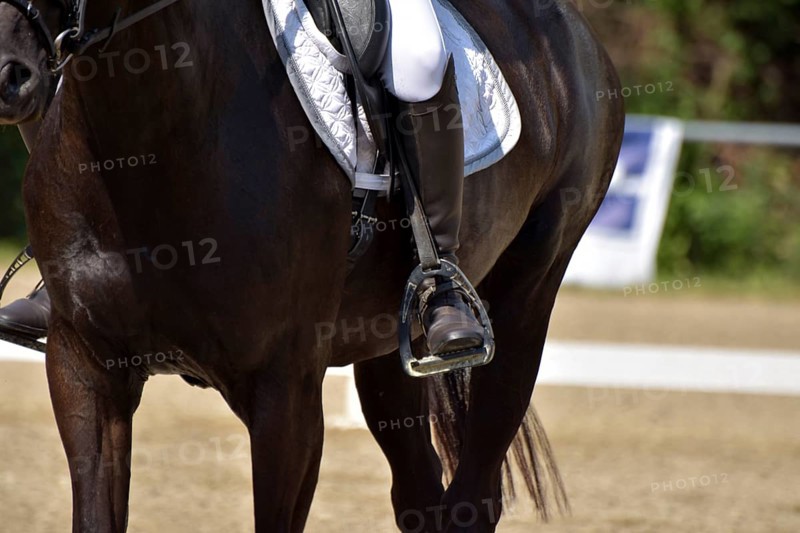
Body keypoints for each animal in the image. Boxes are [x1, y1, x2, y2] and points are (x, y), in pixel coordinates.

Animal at [5, 0, 624, 530]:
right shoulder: (84, 368)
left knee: (475, 497)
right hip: (385, 341)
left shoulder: (285, 391)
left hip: (526, 296)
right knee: (419, 496)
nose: (7, 74)